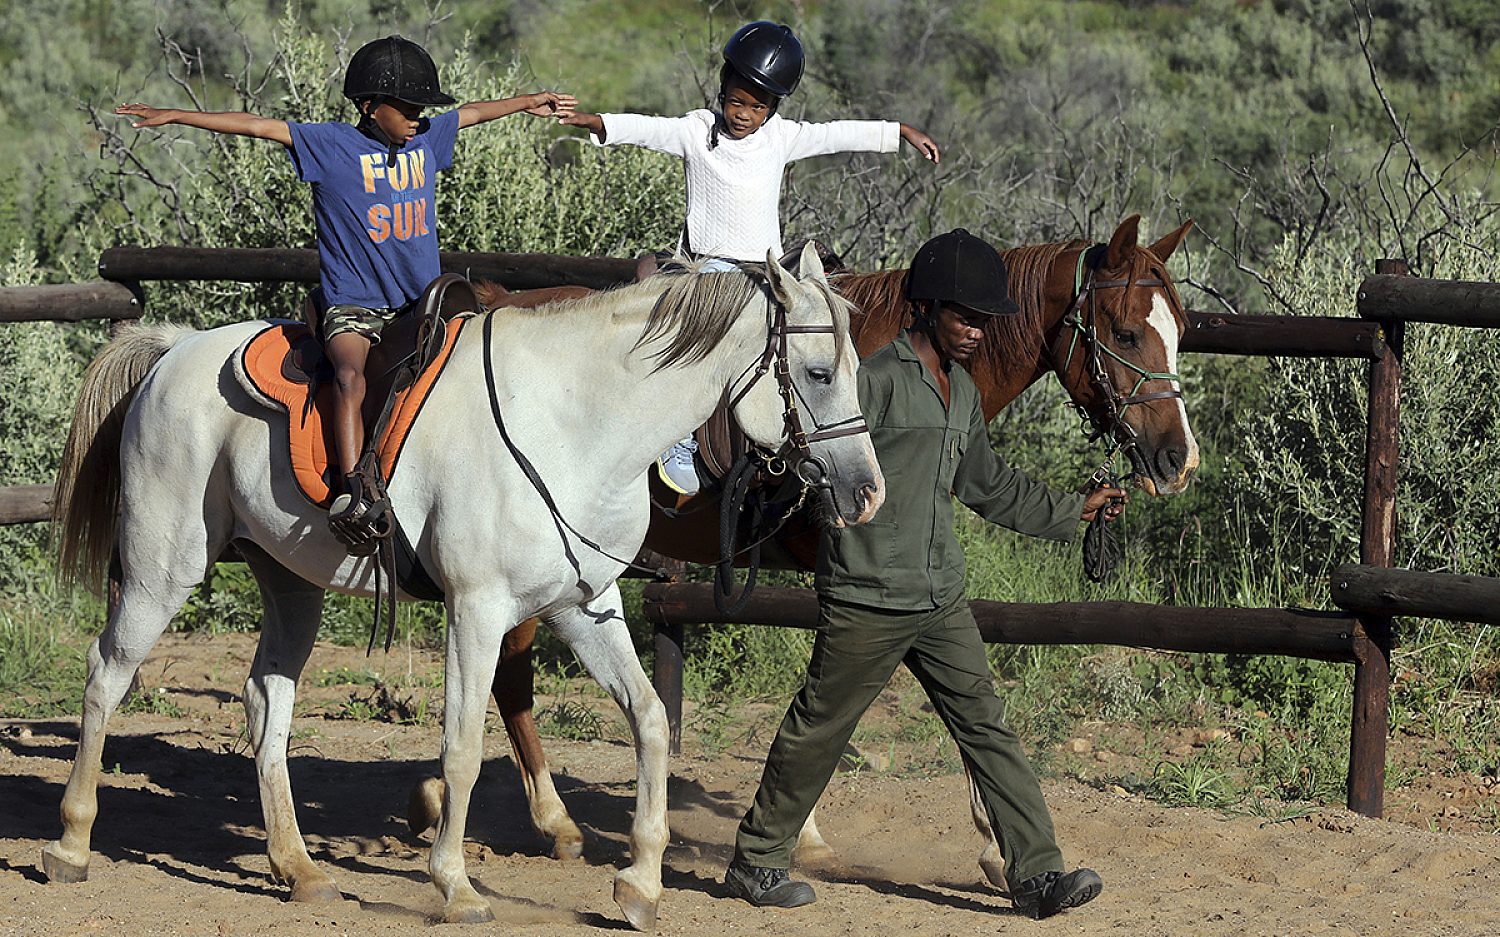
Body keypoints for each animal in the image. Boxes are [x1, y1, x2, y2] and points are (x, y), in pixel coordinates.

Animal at [42, 244, 882, 930]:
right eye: (816, 374)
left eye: (856, 371)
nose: (868, 492)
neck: (572, 423)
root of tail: (171, 352)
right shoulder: (477, 610)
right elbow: (465, 747)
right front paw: (455, 884)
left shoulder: (586, 606)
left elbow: (648, 719)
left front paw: (641, 881)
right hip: (164, 567)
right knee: (106, 673)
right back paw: (72, 841)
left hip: (290, 583)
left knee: (266, 700)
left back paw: (299, 867)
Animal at [409, 214, 1200, 885]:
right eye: (1127, 332)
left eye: (1181, 330)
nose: (1177, 459)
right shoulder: (847, 565)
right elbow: (840, 690)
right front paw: (969, 841)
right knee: (511, 675)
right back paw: (544, 818)